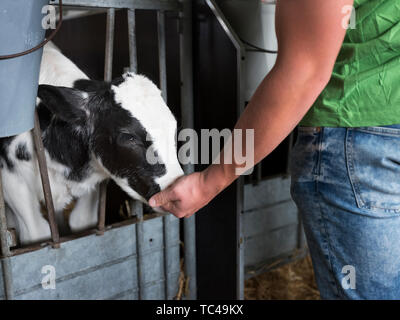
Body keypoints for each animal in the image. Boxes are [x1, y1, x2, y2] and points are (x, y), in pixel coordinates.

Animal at [0, 43, 184, 245]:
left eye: (173, 127)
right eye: (128, 136)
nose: (173, 190)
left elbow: (82, 222)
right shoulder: (12, 182)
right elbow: (38, 234)